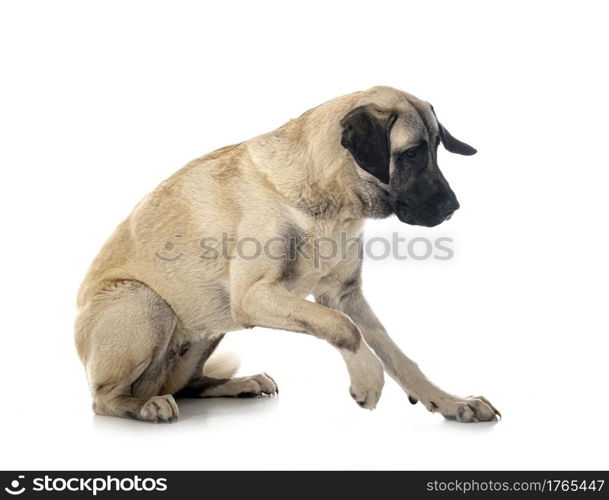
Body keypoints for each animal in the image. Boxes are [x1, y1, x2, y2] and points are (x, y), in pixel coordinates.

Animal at [75, 85, 498, 422]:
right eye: (411, 154)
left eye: (436, 149)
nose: (452, 208)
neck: (331, 201)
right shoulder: (254, 297)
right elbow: (343, 328)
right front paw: (367, 380)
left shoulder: (343, 294)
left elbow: (396, 354)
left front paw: (448, 401)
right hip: (146, 302)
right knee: (105, 399)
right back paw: (145, 405)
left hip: (209, 324)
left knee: (187, 384)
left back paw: (238, 383)